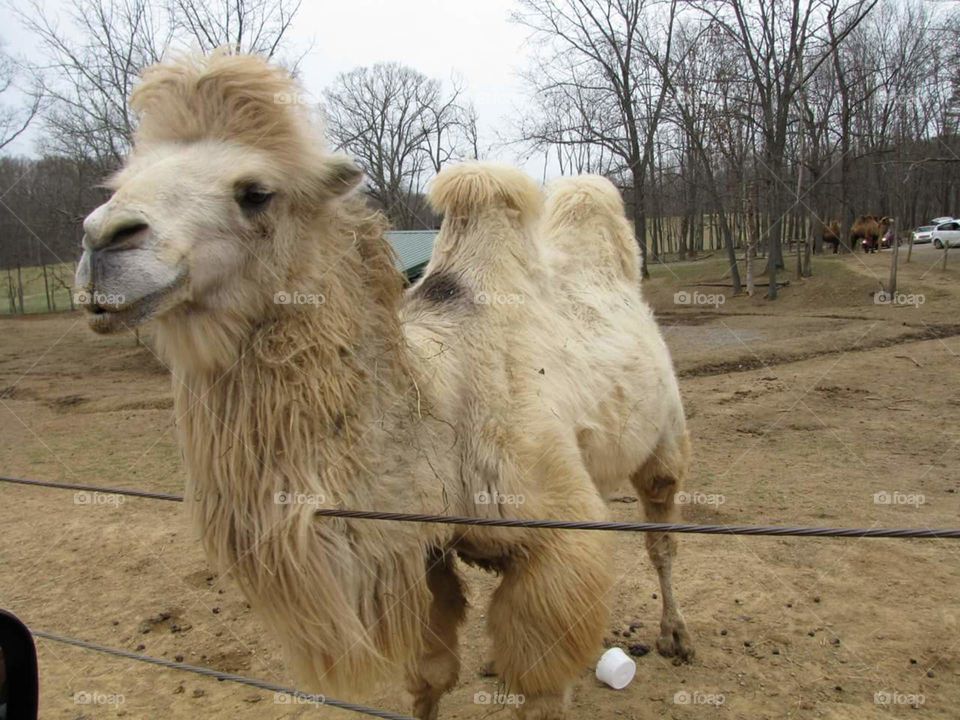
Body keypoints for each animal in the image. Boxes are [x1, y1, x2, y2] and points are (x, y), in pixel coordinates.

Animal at [74, 52, 693, 719]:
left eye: (256, 192)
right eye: (117, 184)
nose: (101, 241)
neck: (435, 406)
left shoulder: (556, 543)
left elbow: (542, 683)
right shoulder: (419, 548)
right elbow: (428, 675)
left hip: (665, 437)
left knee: (661, 535)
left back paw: (675, 635)